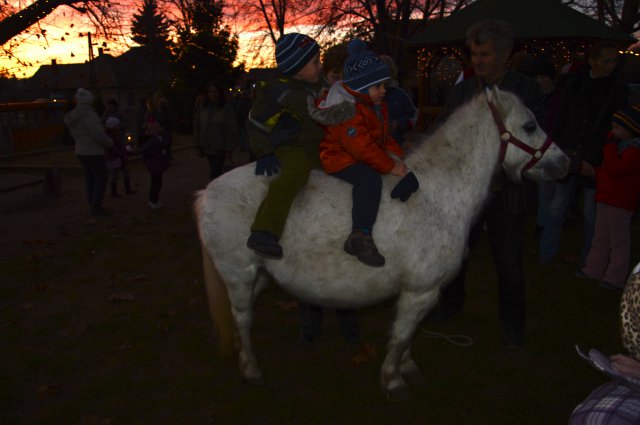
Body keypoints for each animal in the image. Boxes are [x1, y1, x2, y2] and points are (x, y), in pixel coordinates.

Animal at [192, 86, 568, 398]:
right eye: (530, 125)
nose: (564, 163)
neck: (437, 193)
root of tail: (207, 192)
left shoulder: (420, 293)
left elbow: (409, 336)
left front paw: (407, 366)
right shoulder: (420, 290)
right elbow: (401, 336)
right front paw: (393, 380)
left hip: (259, 275)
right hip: (239, 275)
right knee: (243, 319)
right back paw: (252, 369)